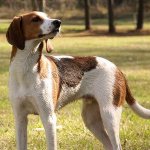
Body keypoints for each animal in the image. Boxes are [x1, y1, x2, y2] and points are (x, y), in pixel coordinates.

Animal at [6, 11, 150, 150]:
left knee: (116, 145)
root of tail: (117, 68)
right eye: (35, 19)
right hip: (91, 119)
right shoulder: (20, 118)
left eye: (47, 16)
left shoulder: (49, 118)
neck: (26, 68)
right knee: (108, 145)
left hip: (109, 115)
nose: (58, 22)